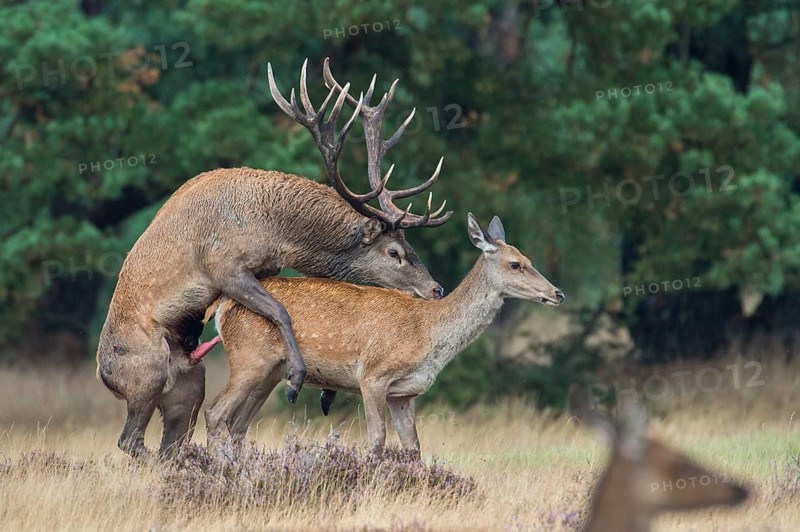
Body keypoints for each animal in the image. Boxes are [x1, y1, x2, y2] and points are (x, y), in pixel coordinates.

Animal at [96, 58, 453, 459]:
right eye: (395, 252)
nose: (436, 289)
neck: (273, 230)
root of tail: (105, 376)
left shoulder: (267, 268)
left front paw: (325, 390)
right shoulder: (224, 266)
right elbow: (281, 311)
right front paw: (297, 379)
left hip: (189, 381)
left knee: (171, 436)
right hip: (147, 370)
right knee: (129, 438)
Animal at [202, 213, 566, 456]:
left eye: (529, 258)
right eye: (515, 264)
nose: (557, 293)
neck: (429, 336)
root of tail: (221, 307)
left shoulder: (404, 393)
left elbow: (413, 447)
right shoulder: (373, 375)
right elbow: (377, 440)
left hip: (272, 372)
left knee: (238, 425)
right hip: (250, 360)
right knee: (215, 413)